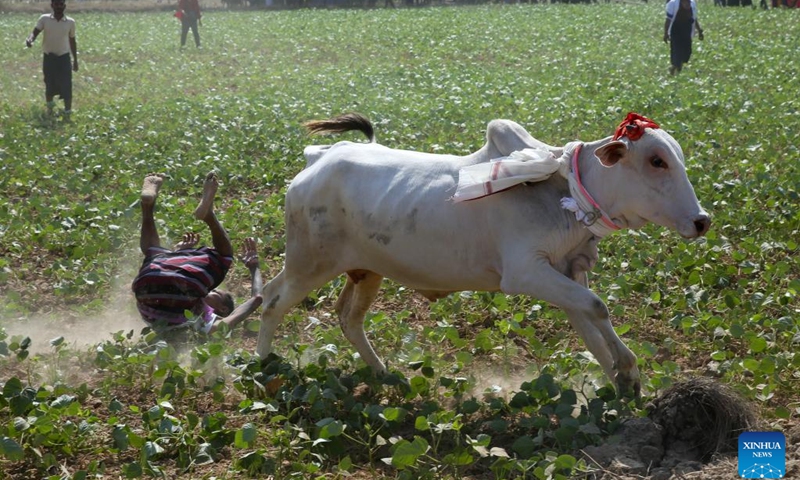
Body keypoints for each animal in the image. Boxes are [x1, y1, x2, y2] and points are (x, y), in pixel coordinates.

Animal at [256, 112, 710, 397]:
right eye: (656, 160)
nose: (702, 220)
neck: (564, 188)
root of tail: (316, 160)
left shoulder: (567, 273)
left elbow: (591, 324)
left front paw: (621, 383)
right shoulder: (526, 272)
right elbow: (599, 307)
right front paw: (628, 370)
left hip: (364, 270)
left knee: (345, 317)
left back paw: (384, 374)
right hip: (308, 264)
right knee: (272, 303)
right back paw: (263, 368)